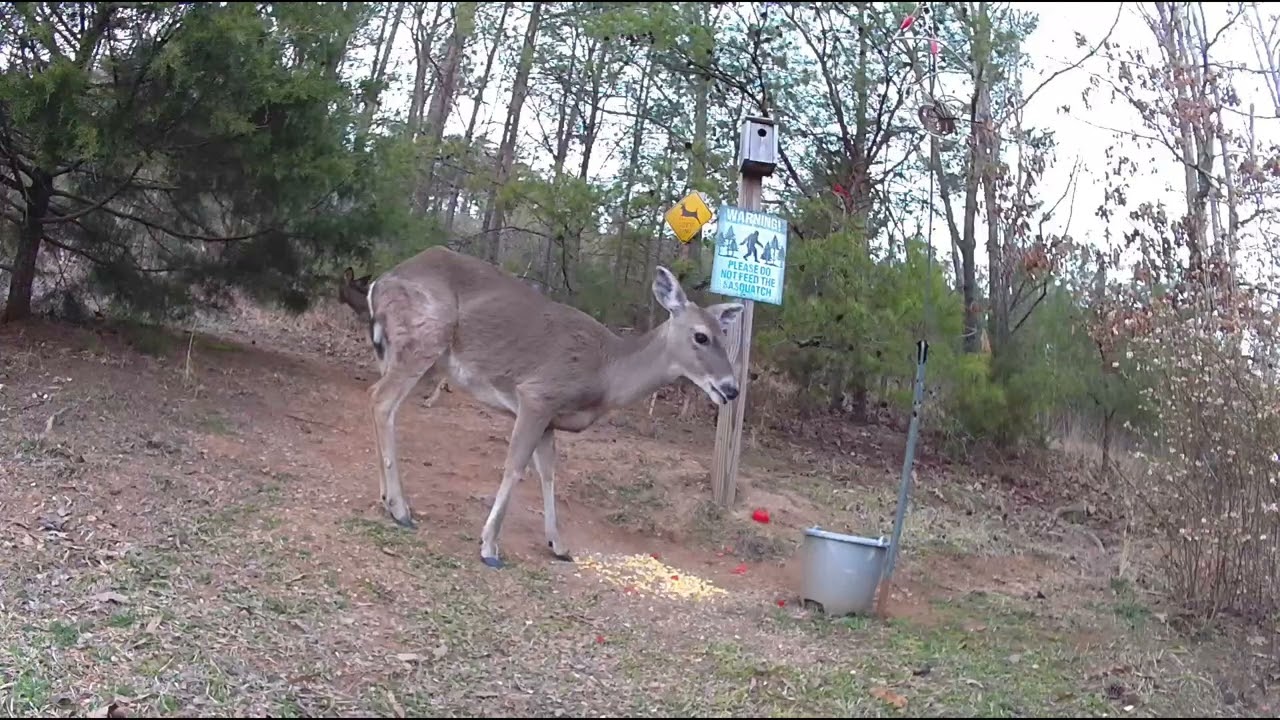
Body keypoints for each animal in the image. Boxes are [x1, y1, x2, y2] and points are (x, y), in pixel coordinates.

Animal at [363, 245, 744, 568]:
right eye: (700, 336)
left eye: (725, 336)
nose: (731, 389)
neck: (607, 372)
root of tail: (378, 283)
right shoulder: (537, 395)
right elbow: (515, 466)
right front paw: (489, 547)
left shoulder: (550, 419)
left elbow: (547, 473)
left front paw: (558, 545)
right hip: (424, 339)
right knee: (381, 400)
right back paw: (401, 509)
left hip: (401, 352)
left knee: (382, 402)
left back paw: (387, 498)